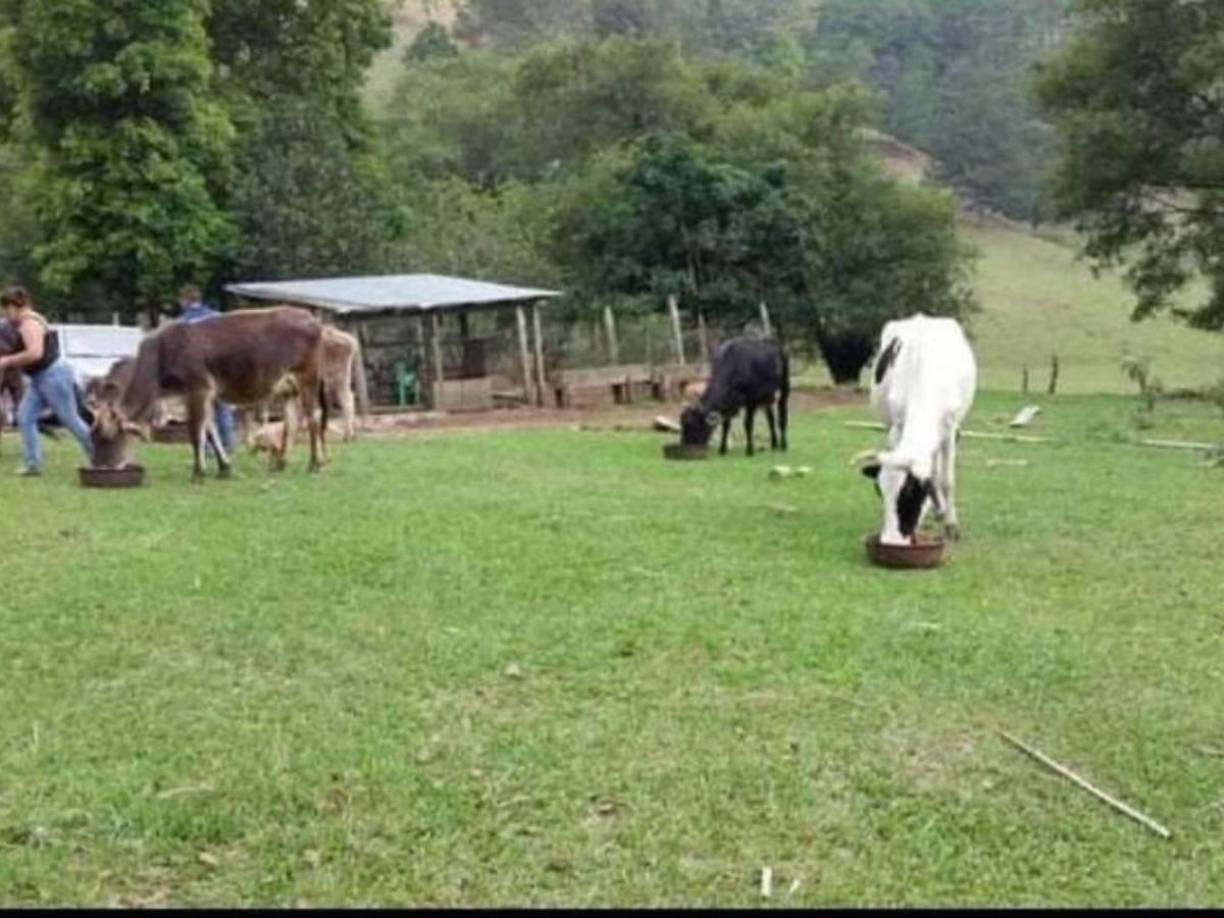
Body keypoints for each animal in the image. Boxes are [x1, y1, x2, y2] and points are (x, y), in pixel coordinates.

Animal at [96, 305, 329, 480]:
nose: (103, 466)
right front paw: (224, 467)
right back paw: (280, 463)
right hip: (288, 389)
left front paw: (198, 473)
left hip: (307, 377)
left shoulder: (199, 389)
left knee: (313, 416)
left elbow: (196, 432)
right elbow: (210, 430)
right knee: (292, 421)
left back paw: (315, 463)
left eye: (107, 436)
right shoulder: (197, 395)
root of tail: (311, 318)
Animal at [856, 313, 977, 546]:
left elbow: (947, 480)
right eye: (879, 491)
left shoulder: (950, 430)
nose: (892, 541)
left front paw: (951, 525)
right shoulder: (896, 427)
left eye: (910, 493)